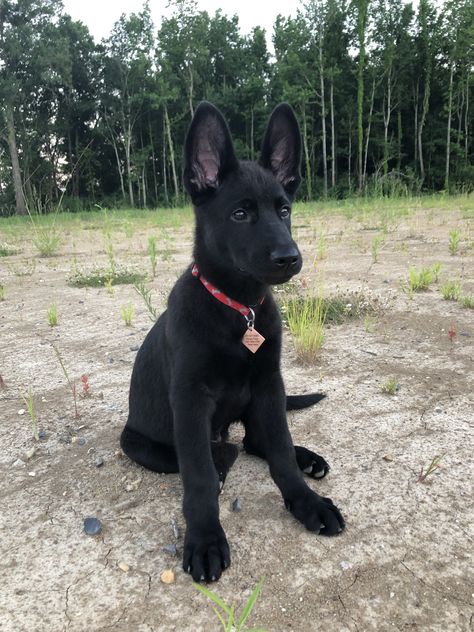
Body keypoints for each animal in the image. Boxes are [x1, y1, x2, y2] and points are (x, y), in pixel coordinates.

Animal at [121, 102, 344, 584]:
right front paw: (205, 538)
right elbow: (200, 475)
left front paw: (307, 503)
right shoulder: (190, 400)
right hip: (139, 443)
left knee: (257, 442)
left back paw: (306, 459)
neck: (239, 309)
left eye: (284, 210)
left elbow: (279, 449)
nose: (289, 258)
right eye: (240, 215)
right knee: (224, 451)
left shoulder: (269, 385)